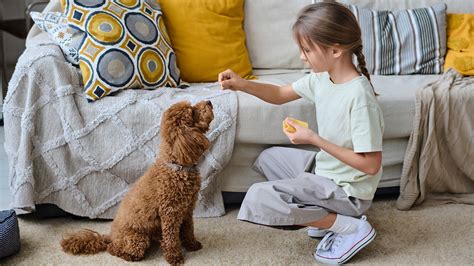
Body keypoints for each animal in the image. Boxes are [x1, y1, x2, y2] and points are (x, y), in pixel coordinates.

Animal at [60, 100, 214, 264]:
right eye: (192, 111)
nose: (209, 102)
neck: (177, 166)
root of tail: (110, 236)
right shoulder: (170, 214)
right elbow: (171, 238)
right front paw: (175, 257)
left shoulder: (187, 210)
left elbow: (189, 229)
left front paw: (192, 245)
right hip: (137, 239)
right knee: (113, 249)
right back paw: (128, 255)